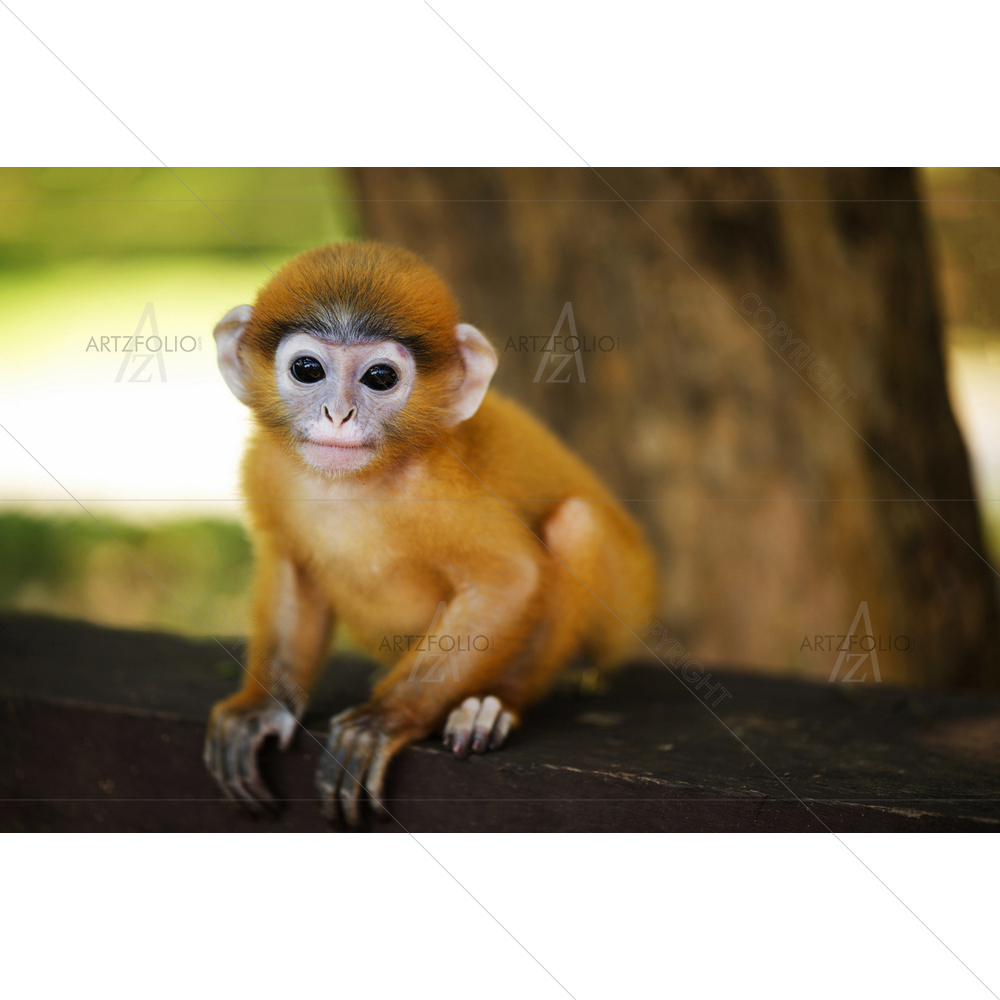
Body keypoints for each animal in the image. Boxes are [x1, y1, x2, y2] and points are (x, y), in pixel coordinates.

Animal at [203, 241, 658, 826]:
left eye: (379, 378)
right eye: (307, 369)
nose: (337, 413)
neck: (356, 483)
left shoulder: (443, 488)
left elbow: (508, 579)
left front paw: (383, 720)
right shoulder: (267, 466)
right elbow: (292, 566)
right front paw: (261, 708)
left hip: (620, 615)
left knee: (575, 525)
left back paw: (493, 705)